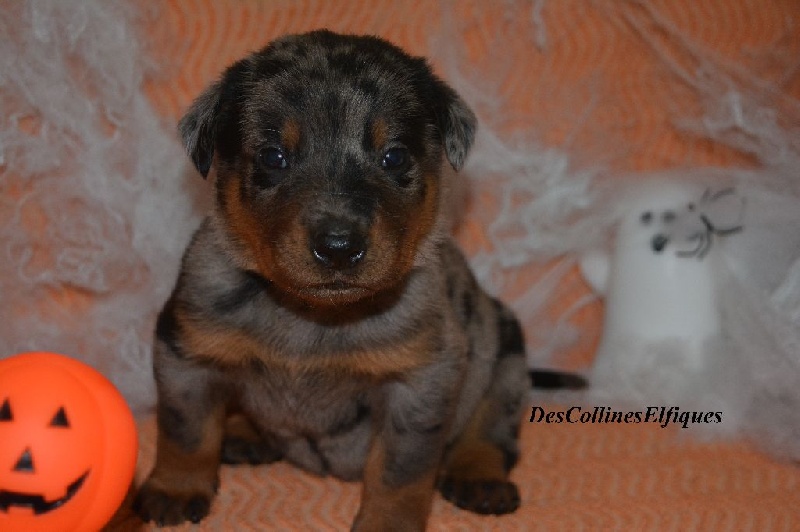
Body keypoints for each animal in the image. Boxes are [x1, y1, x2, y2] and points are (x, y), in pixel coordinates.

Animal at [133, 30, 537, 530]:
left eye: (394, 156)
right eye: (273, 156)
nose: (339, 245)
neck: (312, 315)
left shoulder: (421, 382)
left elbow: (399, 472)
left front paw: (388, 523)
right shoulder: (187, 350)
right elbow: (185, 431)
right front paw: (176, 486)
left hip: (505, 354)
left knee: (491, 425)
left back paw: (478, 474)